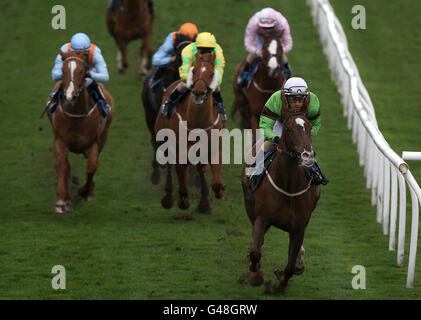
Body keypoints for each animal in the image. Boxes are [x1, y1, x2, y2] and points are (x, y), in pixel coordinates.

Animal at [47, 50, 115, 214]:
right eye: (63, 70)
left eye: (82, 71)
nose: (69, 96)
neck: (76, 114)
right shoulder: (60, 141)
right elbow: (62, 166)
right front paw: (62, 201)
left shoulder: (94, 143)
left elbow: (92, 166)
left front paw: (85, 192)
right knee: (66, 166)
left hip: (104, 136)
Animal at [154, 52, 225, 212]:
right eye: (194, 71)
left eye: (212, 73)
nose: (198, 92)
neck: (197, 123)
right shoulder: (179, 150)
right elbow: (181, 175)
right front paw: (182, 199)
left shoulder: (214, 147)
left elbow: (216, 180)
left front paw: (214, 192)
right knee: (169, 164)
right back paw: (168, 197)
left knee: (199, 168)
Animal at [241, 112, 320, 290]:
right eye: (289, 129)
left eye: (310, 127)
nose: (307, 155)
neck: (288, 186)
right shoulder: (262, 219)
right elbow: (255, 252)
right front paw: (255, 273)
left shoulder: (299, 228)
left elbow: (290, 266)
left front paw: (282, 278)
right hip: (249, 204)